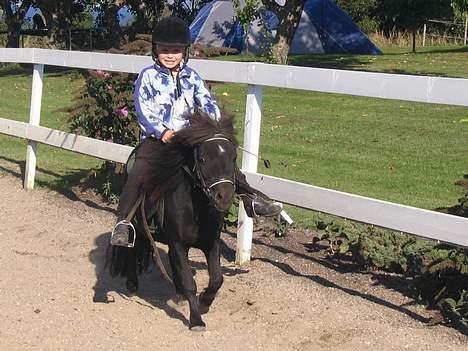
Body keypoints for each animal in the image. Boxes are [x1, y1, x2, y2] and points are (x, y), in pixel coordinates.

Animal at [109, 112, 238, 330]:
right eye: (203, 158)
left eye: (233, 157)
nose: (224, 197)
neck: (197, 208)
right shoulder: (178, 243)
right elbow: (189, 283)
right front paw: (196, 320)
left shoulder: (210, 243)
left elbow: (216, 279)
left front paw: (204, 302)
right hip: (136, 223)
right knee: (132, 247)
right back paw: (132, 284)